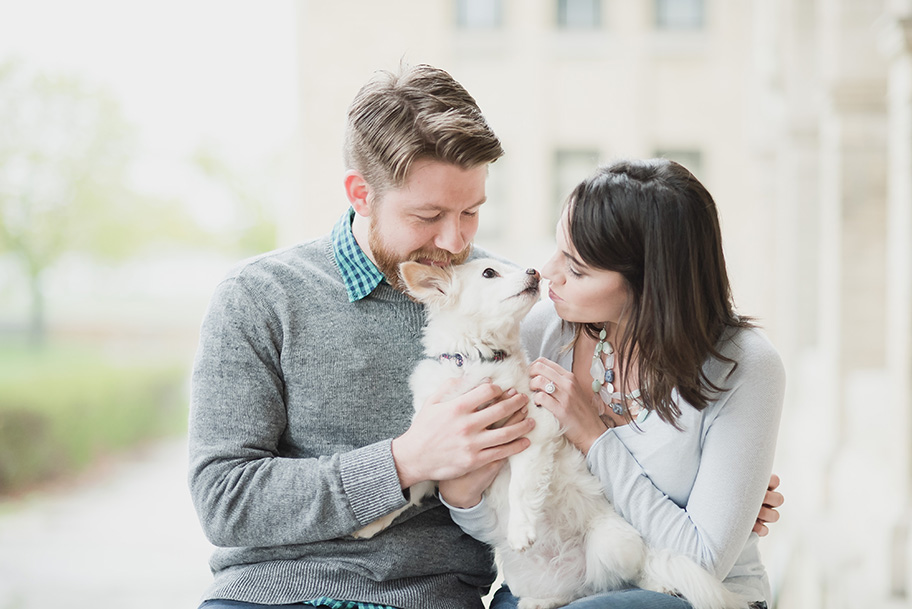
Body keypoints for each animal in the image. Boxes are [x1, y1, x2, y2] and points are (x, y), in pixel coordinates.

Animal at [352, 258, 744, 608]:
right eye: (489, 273)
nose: (534, 271)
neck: (478, 362)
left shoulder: (534, 431)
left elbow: (520, 486)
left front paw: (521, 529)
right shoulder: (439, 455)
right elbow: (411, 484)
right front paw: (369, 526)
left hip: (613, 544)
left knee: (626, 577)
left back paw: (660, 584)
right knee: (578, 591)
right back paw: (541, 602)